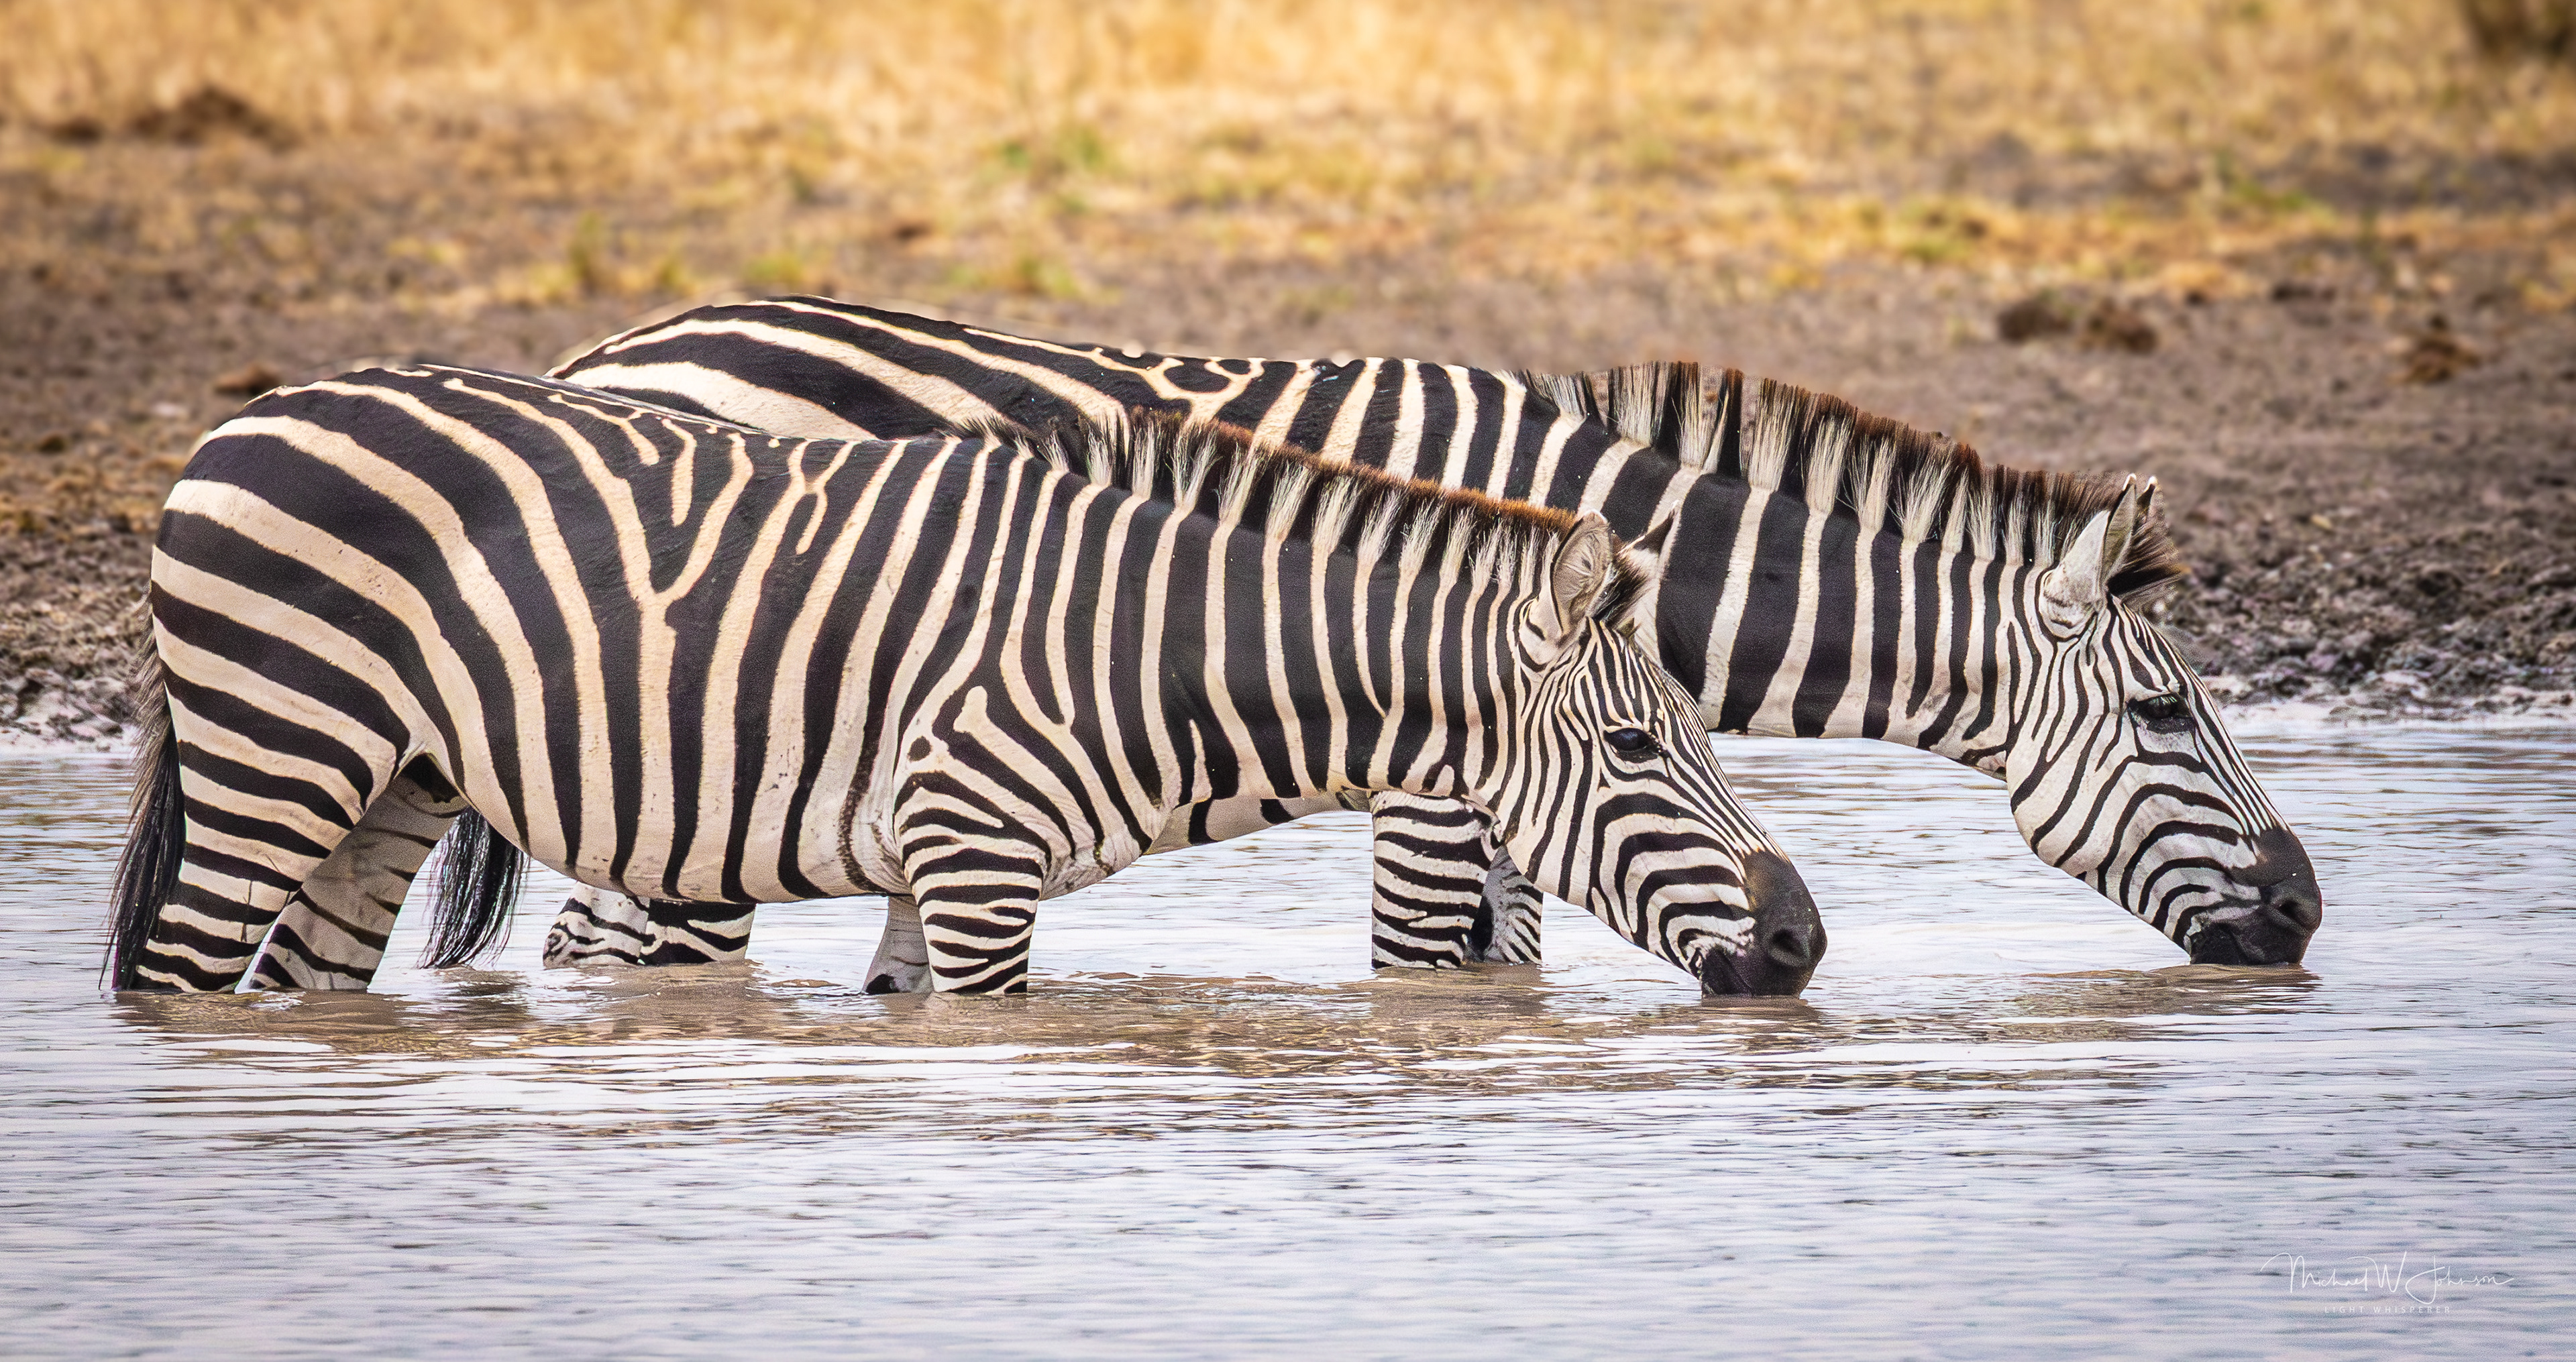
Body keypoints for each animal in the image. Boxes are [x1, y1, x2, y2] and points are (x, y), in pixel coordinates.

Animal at [108, 364, 1826, 997]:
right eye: (1634, 748)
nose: (1804, 942)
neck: (1146, 643)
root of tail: (246, 414)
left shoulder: (942, 872)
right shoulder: (974, 856)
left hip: (391, 782)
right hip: (277, 755)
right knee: (181, 974)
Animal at [512, 297, 2321, 973]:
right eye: (2169, 715)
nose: (2308, 917)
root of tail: (607, 352)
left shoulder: (1521, 792)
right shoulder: (1438, 794)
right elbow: (1422, 973)